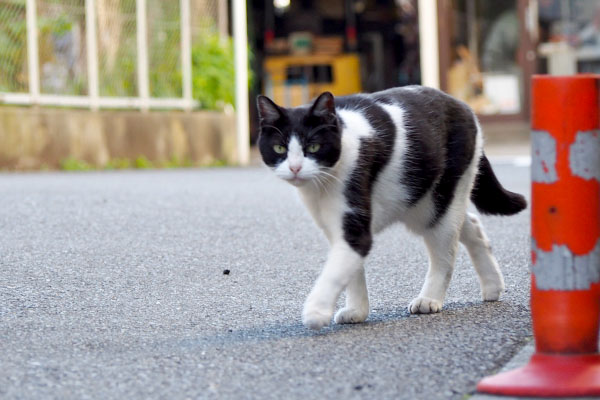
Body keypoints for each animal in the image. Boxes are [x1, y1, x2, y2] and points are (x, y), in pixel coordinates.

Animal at [256, 87, 524, 332]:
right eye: (280, 149)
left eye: (313, 147)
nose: (295, 168)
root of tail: (463, 104)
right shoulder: (340, 228)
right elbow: (351, 271)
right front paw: (357, 311)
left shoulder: (354, 225)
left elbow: (334, 271)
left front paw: (316, 311)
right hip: (423, 204)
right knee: (471, 224)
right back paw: (493, 285)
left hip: (439, 200)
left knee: (445, 253)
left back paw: (430, 299)